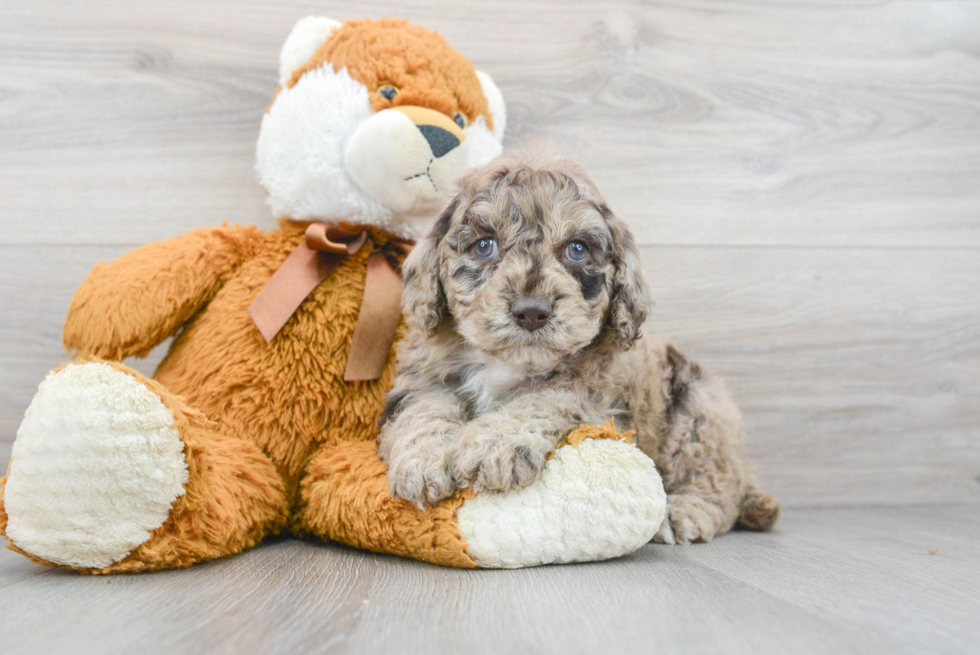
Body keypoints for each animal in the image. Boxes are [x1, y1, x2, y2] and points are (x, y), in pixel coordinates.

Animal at [378, 149, 780, 544]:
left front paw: (493, 445)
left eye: (577, 249)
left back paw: (686, 514)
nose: (531, 311)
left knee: (717, 488)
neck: (507, 363)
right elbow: (425, 409)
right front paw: (423, 461)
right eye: (484, 246)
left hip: (699, 415)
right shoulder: (424, 376)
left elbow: (541, 399)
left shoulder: (591, 388)